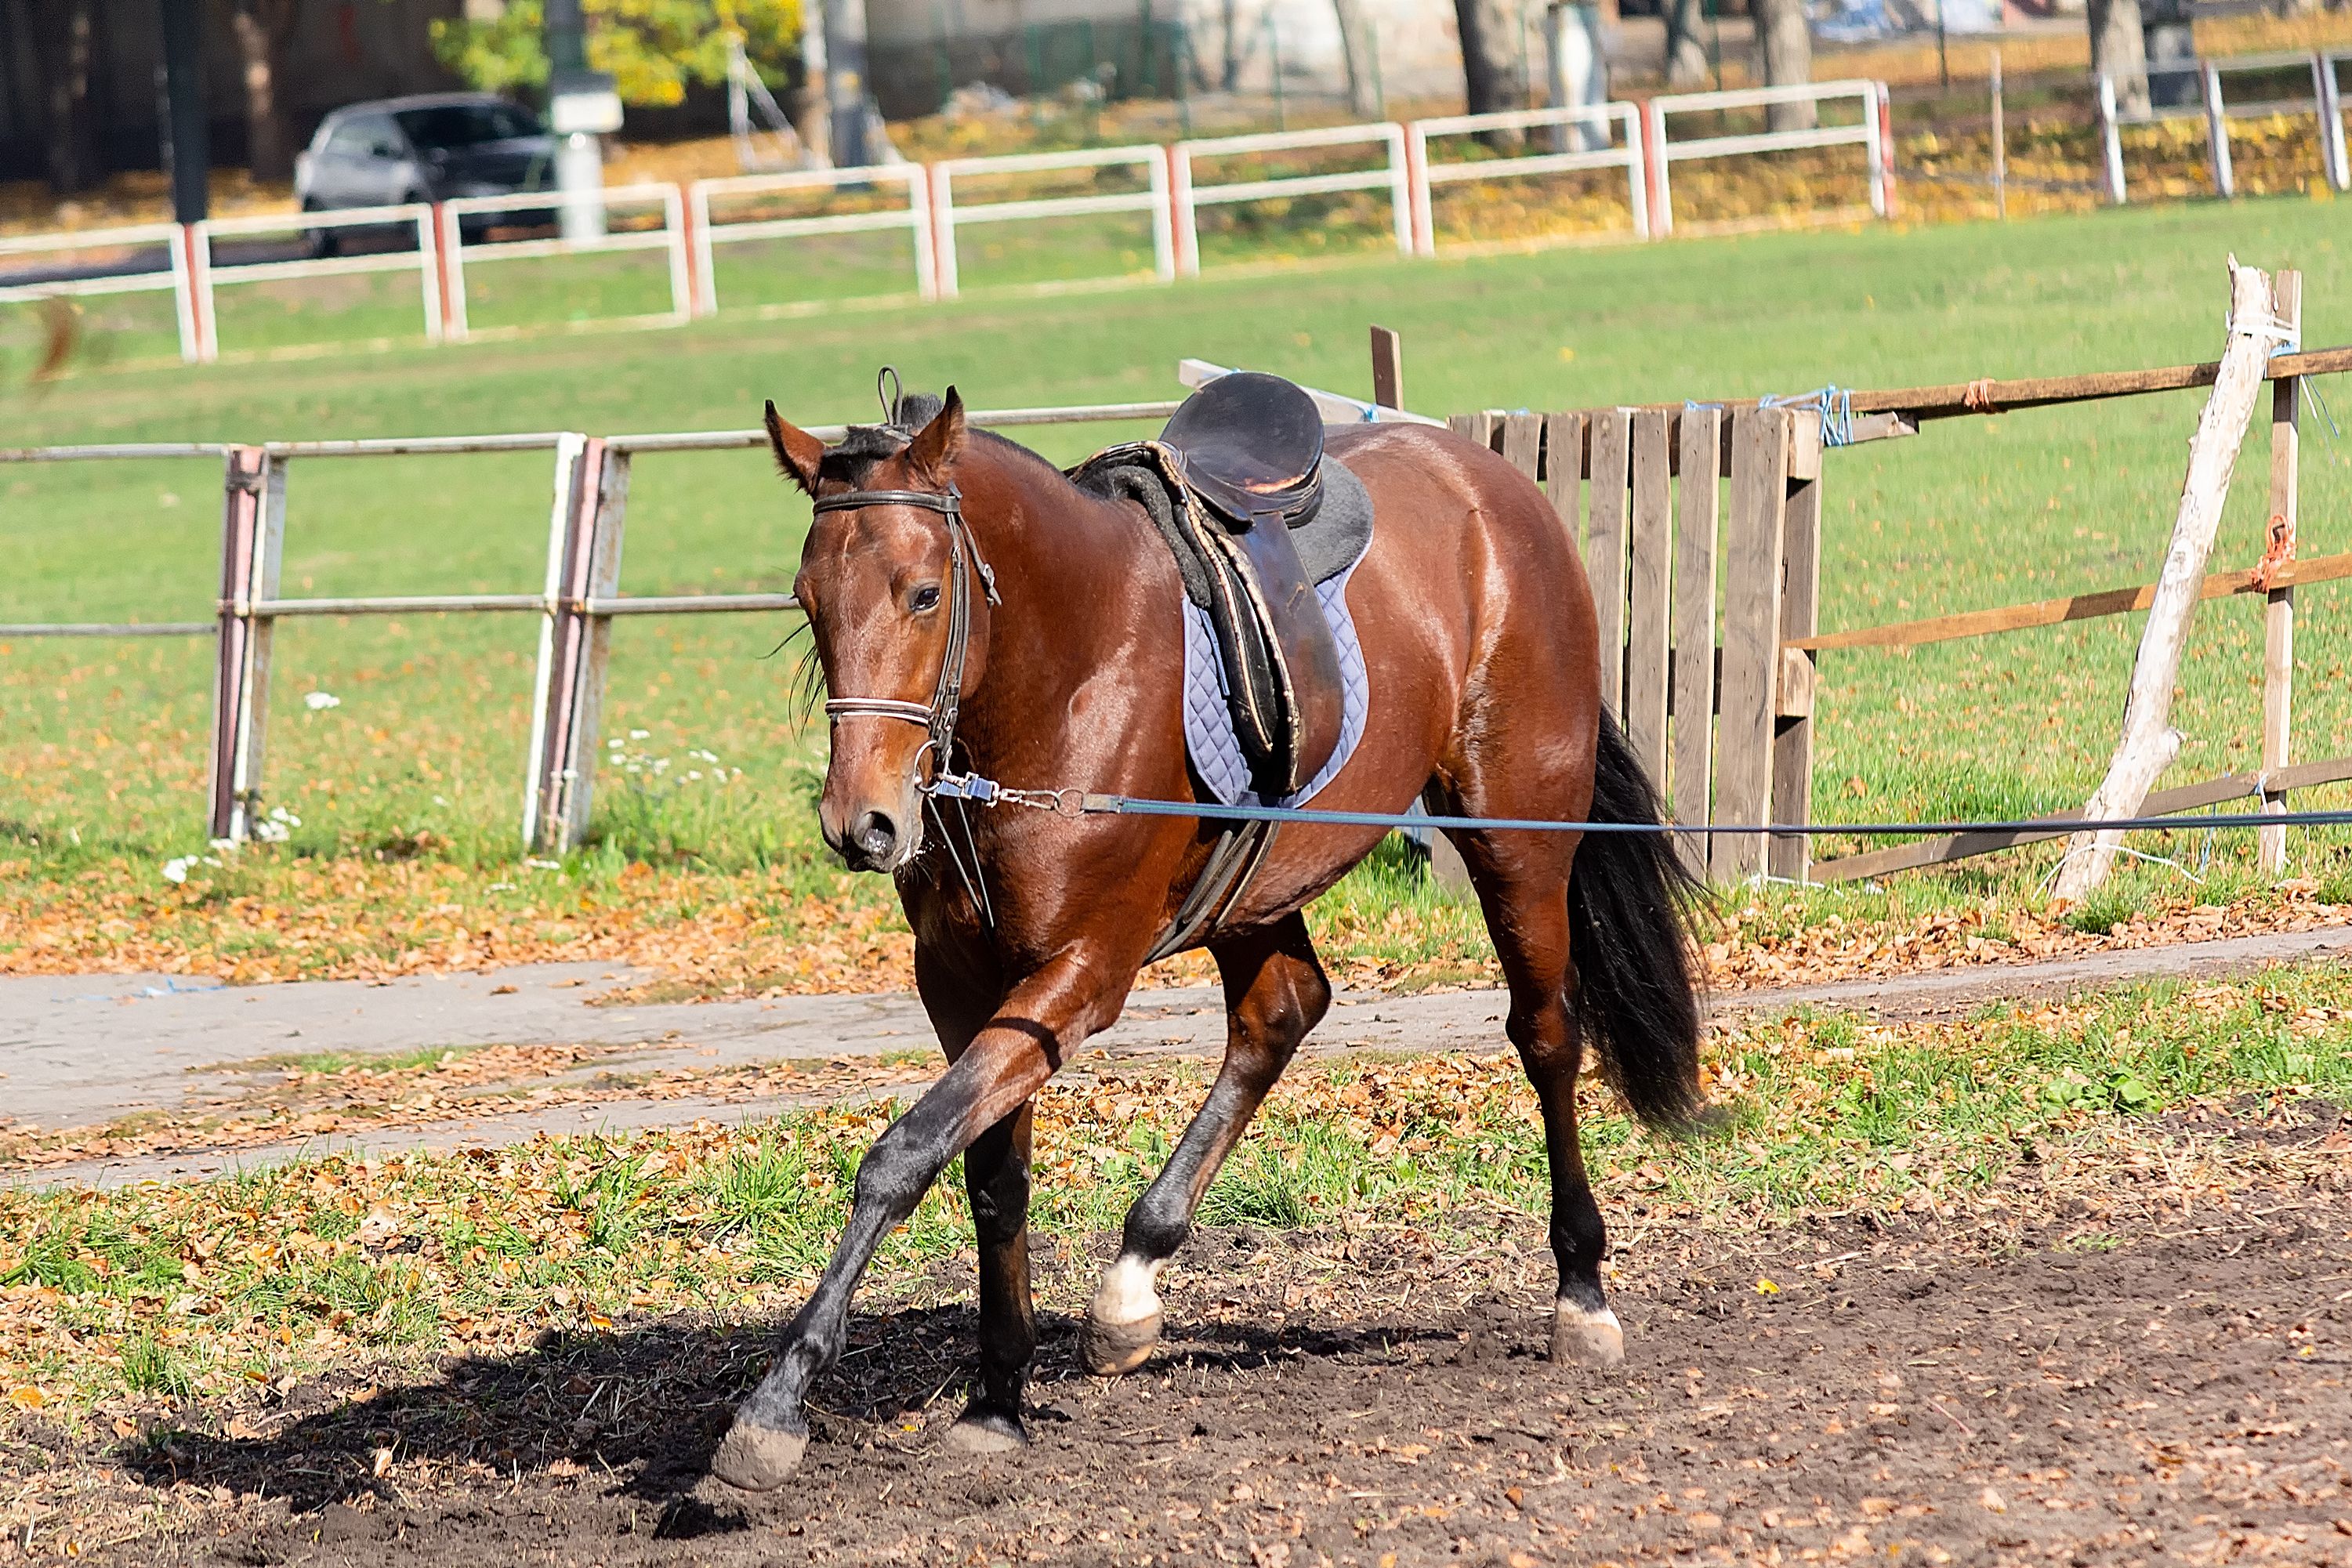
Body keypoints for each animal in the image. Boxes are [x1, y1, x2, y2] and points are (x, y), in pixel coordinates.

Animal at [710, 383, 1707, 1491]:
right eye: (807, 601)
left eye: (925, 594)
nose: (864, 824)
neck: (1065, 674)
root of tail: (1491, 485)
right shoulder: (961, 981)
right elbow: (988, 1175)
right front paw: (998, 1399)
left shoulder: (1081, 975)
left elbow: (903, 1155)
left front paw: (778, 1405)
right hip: (1257, 887)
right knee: (1282, 1013)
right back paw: (1132, 1282)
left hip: (1517, 838)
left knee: (1545, 1037)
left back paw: (1582, 1295)